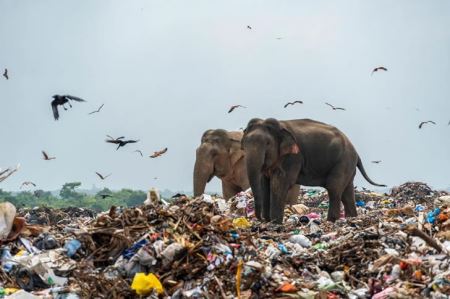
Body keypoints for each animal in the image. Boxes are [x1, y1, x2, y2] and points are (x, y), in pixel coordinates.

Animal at [241, 118, 384, 224]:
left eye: (268, 144)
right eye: (245, 144)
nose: (260, 219)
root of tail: (356, 152)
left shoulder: (293, 157)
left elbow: (280, 183)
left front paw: (275, 223)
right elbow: (264, 183)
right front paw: (269, 222)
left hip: (343, 161)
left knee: (334, 188)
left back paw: (331, 221)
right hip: (347, 165)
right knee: (346, 192)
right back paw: (351, 218)